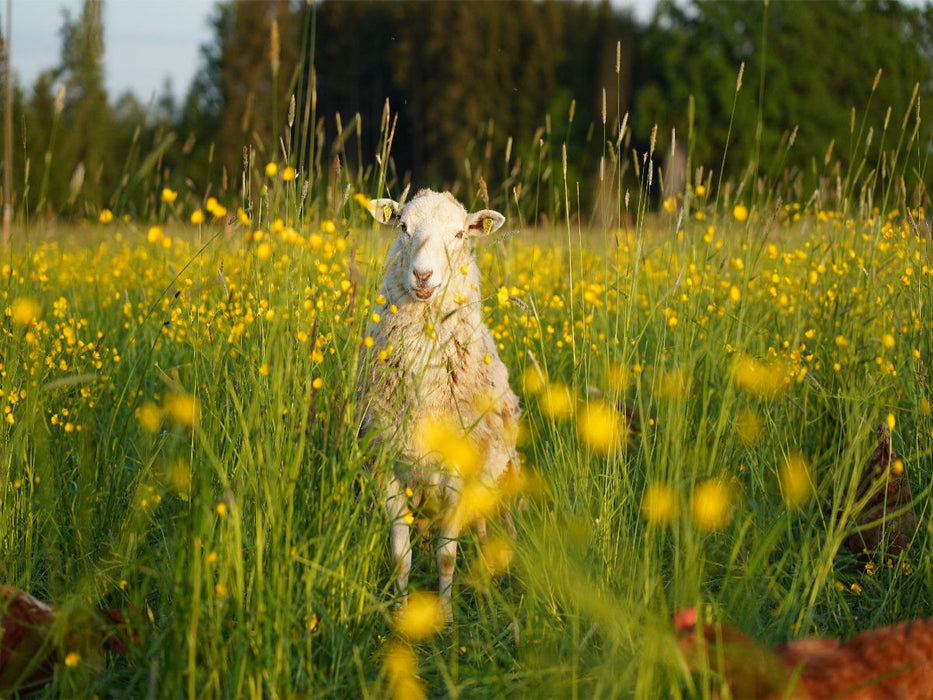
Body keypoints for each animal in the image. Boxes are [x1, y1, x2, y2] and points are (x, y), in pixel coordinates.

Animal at [358, 189, 521, 615]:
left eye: (460, 234)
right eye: (402, 226)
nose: (423, 275)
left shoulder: (461, 475)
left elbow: (447, 556)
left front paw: (446, 616)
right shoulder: (388, 467)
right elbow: (402, 555)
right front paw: (401, 611)